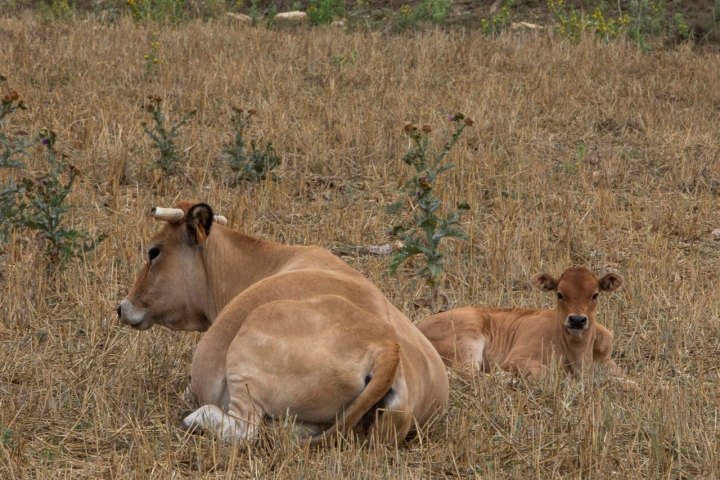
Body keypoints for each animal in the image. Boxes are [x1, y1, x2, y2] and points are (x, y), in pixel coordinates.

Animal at [117, 202, 449, 445]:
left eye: (154, 251)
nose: (122, 307)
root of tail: (386, 348)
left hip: (248, 353)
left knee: (244, 430)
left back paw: (196, 418)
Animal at [417, 267, 631, 382]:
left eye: (595, 294)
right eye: (559, 294)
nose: (577, 320)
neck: (577, 353)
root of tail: (418, 326)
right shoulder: (517, 360)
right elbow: (549, 374)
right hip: (469, 341)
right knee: (466, 373)